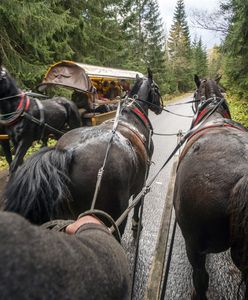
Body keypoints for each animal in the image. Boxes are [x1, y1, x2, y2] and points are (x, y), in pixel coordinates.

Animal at [4, 69, 164, 234]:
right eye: (157, 89)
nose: (160, 107)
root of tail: (68, 152)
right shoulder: (142, 182)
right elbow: (138, 203)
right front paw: (137, 224)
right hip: (112, 214)